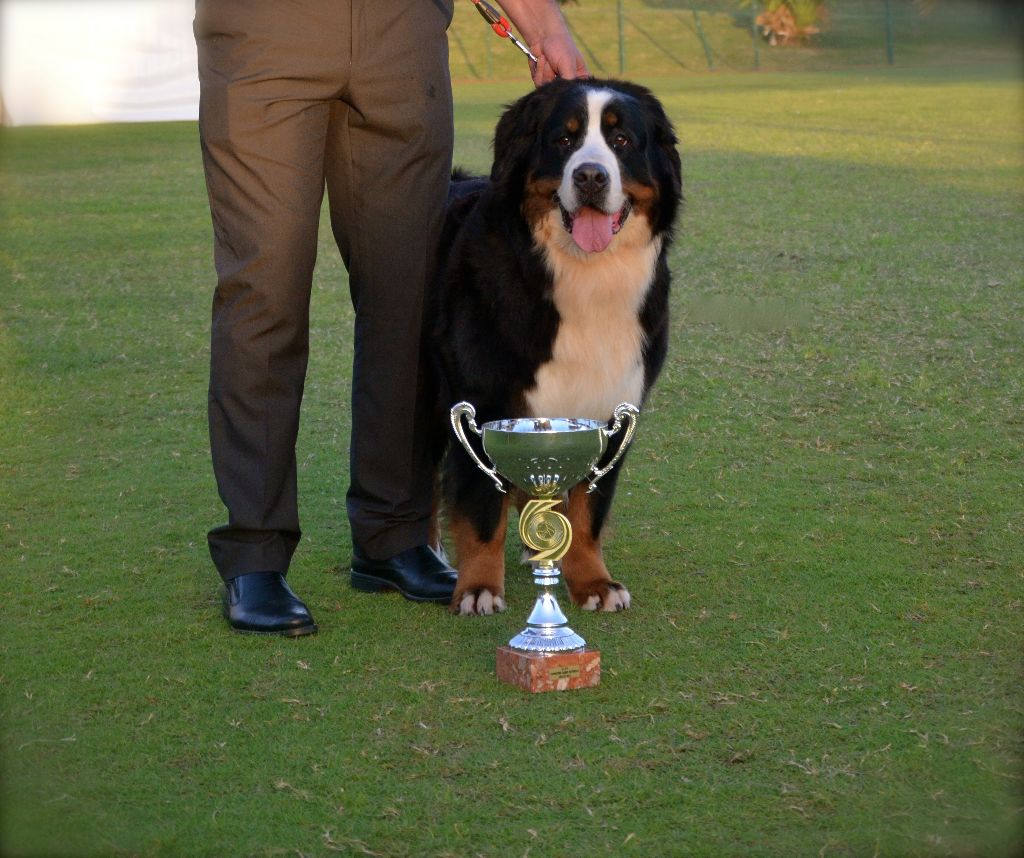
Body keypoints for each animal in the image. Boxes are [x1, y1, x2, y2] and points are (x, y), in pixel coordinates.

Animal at [430, 77, 679, 618]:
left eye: (621, 141)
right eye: (563, 140)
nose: (590, 176)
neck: (585, 279)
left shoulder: (610, 410)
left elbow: (588, 512)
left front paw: (593, 581)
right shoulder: (481, 402)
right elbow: (482, 508)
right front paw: (479, 587)